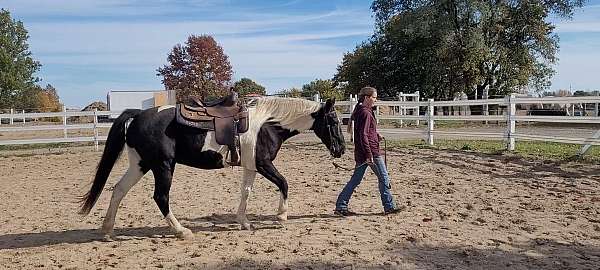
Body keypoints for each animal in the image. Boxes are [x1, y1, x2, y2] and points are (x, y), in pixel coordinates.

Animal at [77, 96, 344, 239]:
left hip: (140, 164)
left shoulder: (250, 167)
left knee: (118, 190)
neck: (268, 124)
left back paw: (108, 230)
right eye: (332, 120)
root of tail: (138, 115)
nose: (341, 149)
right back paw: (181, 231)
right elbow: (284, 183)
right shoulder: (263, 164)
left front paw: (244, 222)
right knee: (160, 197)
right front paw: (281, 215)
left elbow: (246, 192)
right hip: (163, 166)